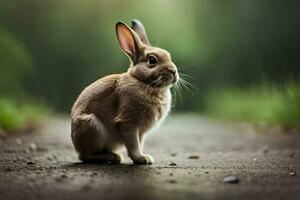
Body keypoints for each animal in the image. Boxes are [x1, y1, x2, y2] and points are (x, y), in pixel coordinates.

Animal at [70, 19, 178, 165]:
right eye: (152, 60)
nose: (174, 71)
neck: (141, 81)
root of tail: (75, 143)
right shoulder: (128, 123)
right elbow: (133, 144)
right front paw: (142, 159)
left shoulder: (141, 132)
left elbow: (139, 143)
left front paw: (144, 157)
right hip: (92, 126)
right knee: (85, 156)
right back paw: (113, 157)